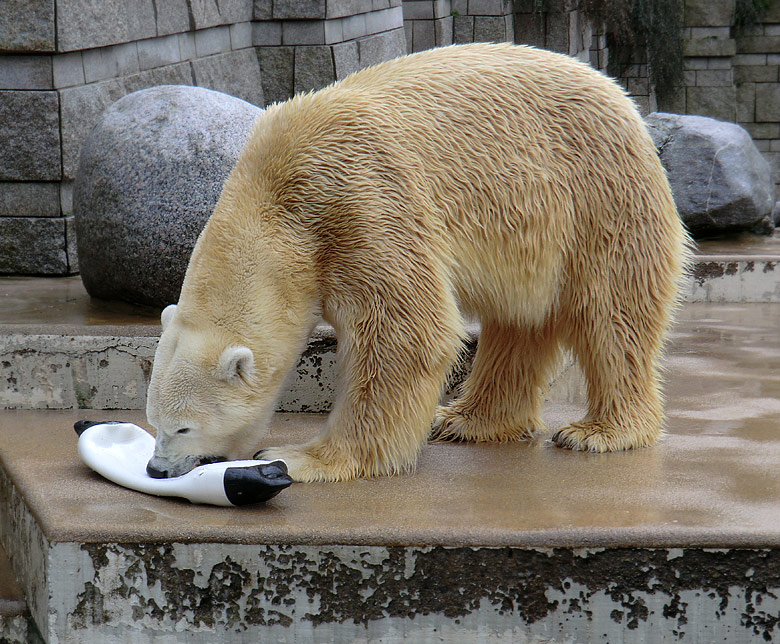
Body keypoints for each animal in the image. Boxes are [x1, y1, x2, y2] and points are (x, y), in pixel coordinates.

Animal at [145, 41, 688, 484]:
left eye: (183, 427)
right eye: (152, 421)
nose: (156, 468)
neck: (276, 192)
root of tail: (620, 96)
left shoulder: (359, 200)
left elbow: (404, 331)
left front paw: (304, 457)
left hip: (596, 197)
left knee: (612, 312)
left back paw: (599, 432)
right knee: (519, 321)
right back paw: (467, 419)